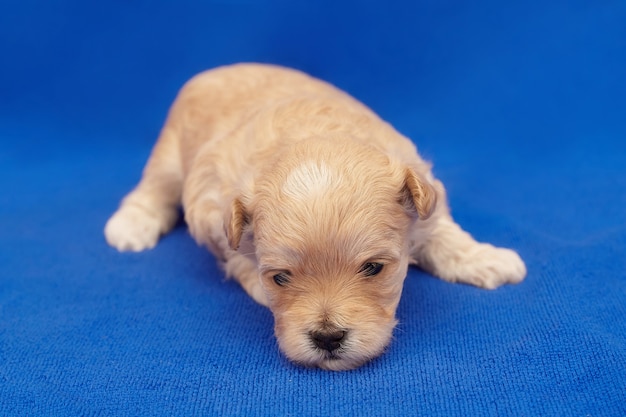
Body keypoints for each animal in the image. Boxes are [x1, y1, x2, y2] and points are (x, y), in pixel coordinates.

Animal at [105, 63, 524, 368]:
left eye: (374, 268)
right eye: (280, 278)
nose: (327, 338)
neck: (311, 135)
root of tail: (210, 71)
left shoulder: (425, 202)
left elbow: (446, 237)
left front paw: (488, 259)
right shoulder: (209, 210)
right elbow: (236, 256)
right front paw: (255, 284)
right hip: (170, 155)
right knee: (152, 189)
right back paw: (130, 226)